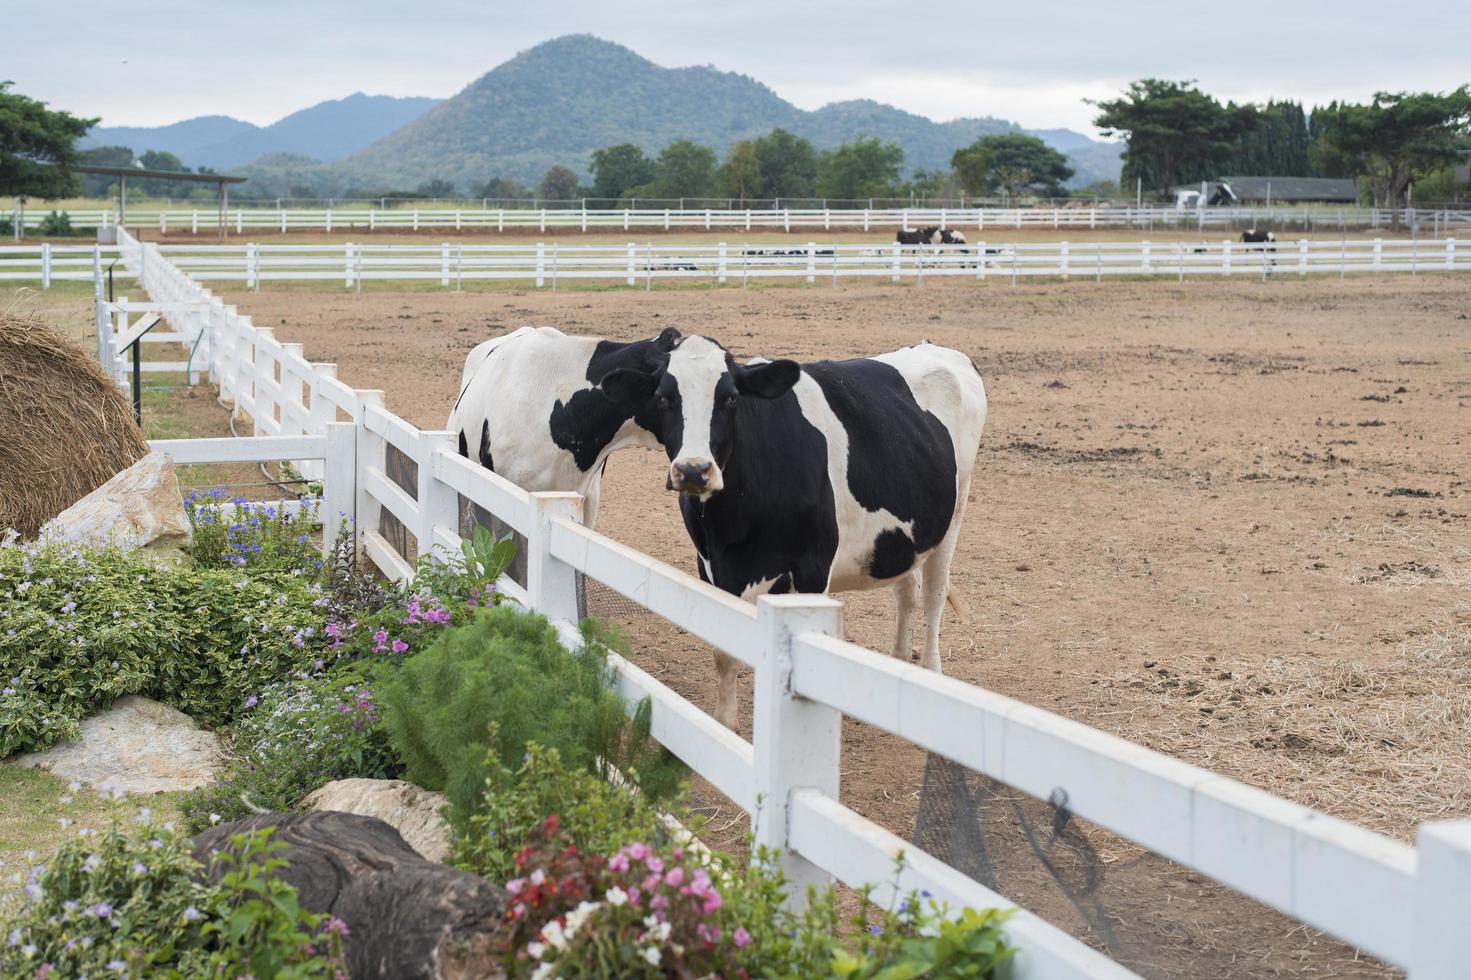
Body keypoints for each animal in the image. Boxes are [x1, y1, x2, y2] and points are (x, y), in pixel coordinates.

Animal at [597, 332, 988, 721]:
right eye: (664, 398)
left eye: (730, 398)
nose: (693, 470)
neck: (734, 528)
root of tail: (938, 349)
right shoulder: (710, 565)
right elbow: (724, 652)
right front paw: (726, 723)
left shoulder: (813, 566)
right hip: (903, 534)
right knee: (907, 592)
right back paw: (899, 663)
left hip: (953, 516)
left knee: (933, 596)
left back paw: (930, 671)